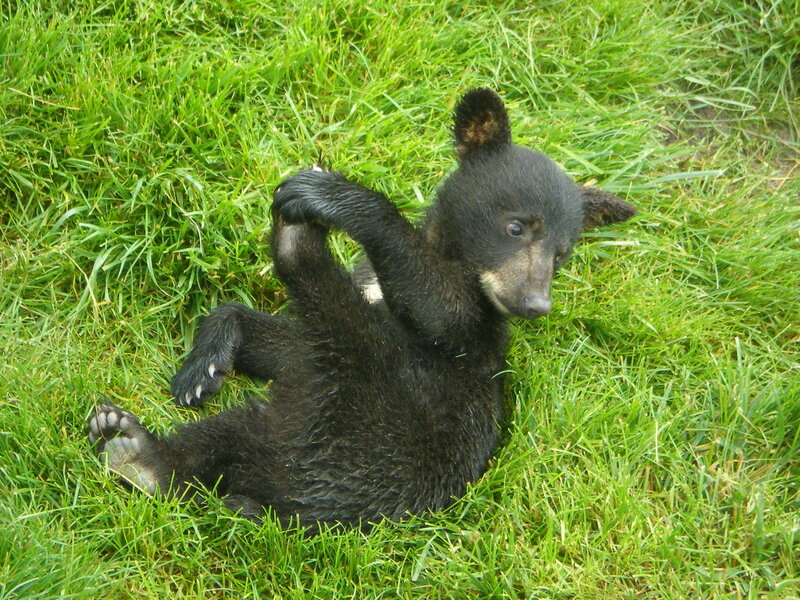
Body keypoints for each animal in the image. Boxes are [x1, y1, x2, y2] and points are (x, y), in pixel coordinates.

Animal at [87, 88, 636, 531]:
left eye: (562, 253)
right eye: (517, 227)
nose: (534, 304)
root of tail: (291, 501)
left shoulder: (471, 331)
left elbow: (438, 305)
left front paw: (332, 196)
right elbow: (285, 345)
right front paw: (202, 368)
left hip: (373, 411)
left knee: (338, 327)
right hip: (291, 420)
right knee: (230, 432)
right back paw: (134, 447)